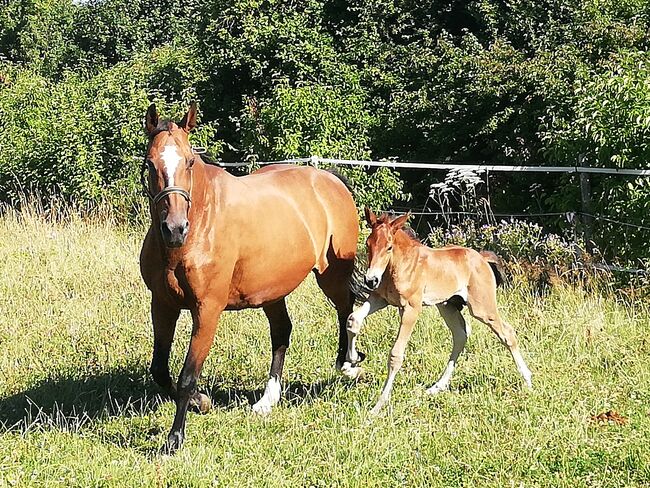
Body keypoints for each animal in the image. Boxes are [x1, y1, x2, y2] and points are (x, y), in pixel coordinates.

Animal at [342, 208, 528, 414]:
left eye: (389, 247)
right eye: (368, 244)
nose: (371, 280)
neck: (401, 265)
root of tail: (482, 258)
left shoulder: (410, 308)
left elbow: (396, 354)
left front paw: (378, 406)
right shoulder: (380, 299)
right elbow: (353, 319)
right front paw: (350, 365)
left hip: (481, 307)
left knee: (507, 333)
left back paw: (527, 380)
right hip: (448, 306)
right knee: (461, 335)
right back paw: (437, 387)